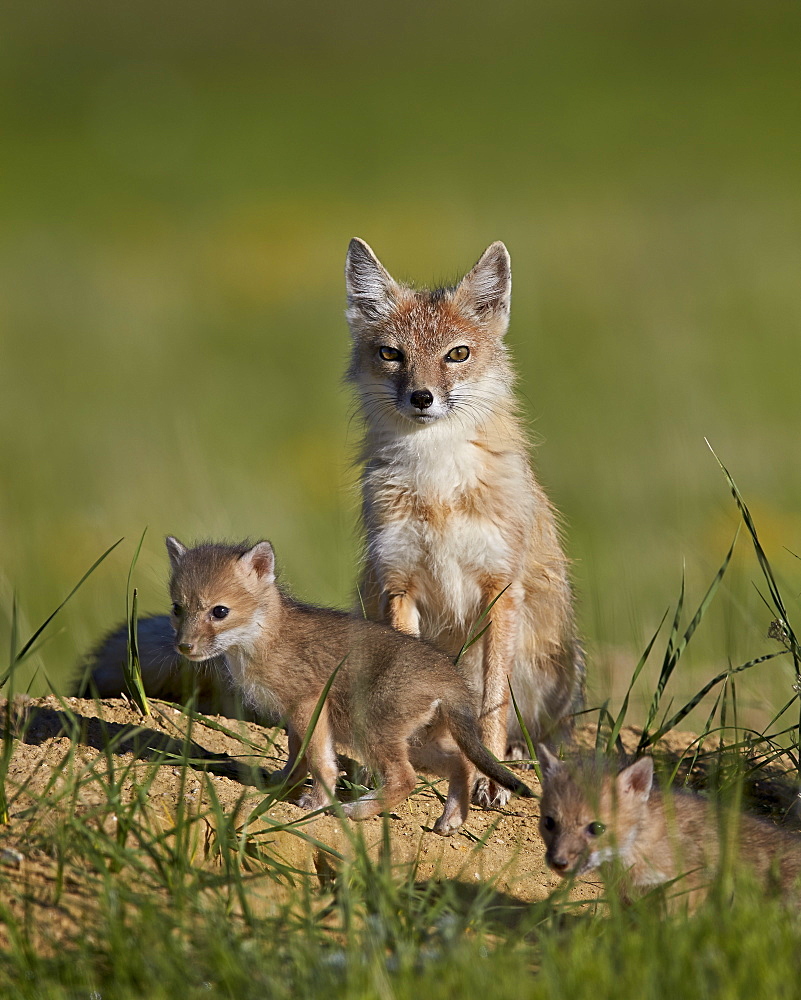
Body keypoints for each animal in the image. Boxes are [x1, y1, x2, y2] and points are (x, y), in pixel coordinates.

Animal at [168, 536, 532, 832]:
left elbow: (320, 761)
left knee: (406, 779)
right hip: (419, 744)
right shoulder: (295, 717)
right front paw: (282, 784)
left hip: (373, 734)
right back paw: (450, 822)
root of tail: (451, 678)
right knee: (462, 765)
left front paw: (317, 801)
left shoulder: (308, 705)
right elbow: (298, 757)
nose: (184, 647)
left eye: (220, 612)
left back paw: (356, 810)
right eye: (177, 608)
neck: (264, 640)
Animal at [344, 234, 580, 804]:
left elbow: (492, 700)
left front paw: (490, 776)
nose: (422, 397)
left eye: (457, 353)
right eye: (391, 353)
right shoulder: (398, 584)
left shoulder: (500, 589)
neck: (437, 487)